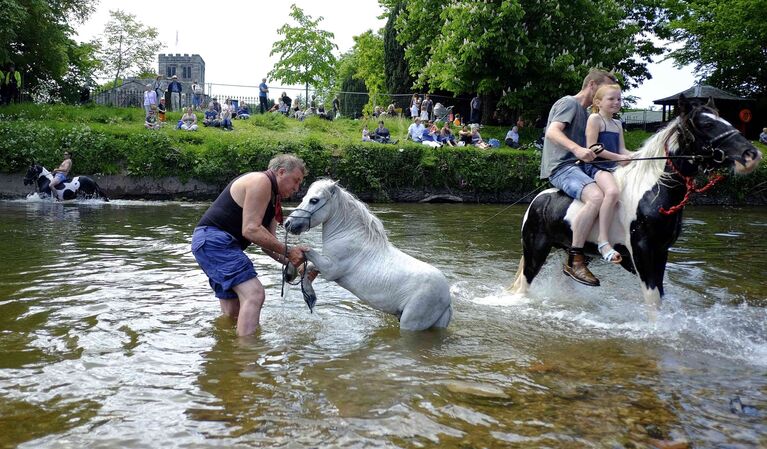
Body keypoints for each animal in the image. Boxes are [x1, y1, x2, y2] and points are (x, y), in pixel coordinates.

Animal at [284, 178, 452, 328]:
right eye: (304, 198)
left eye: (314, 200)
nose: (288, 223)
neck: (348, 235)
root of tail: (447, 300)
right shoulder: (326, 266)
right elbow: (308, 265)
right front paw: (306, 293)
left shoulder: (330, 270)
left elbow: (306, 251)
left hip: (411, 324)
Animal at [510, 95, 760, 312]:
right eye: (707, 124)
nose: (751, 155)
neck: (652, 192)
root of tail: (537, 201)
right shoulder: (642, 252)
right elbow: (653, 300)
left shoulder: (661, 252)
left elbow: (659, 295)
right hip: (535, 251)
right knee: (524, 285)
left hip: (570, 251)